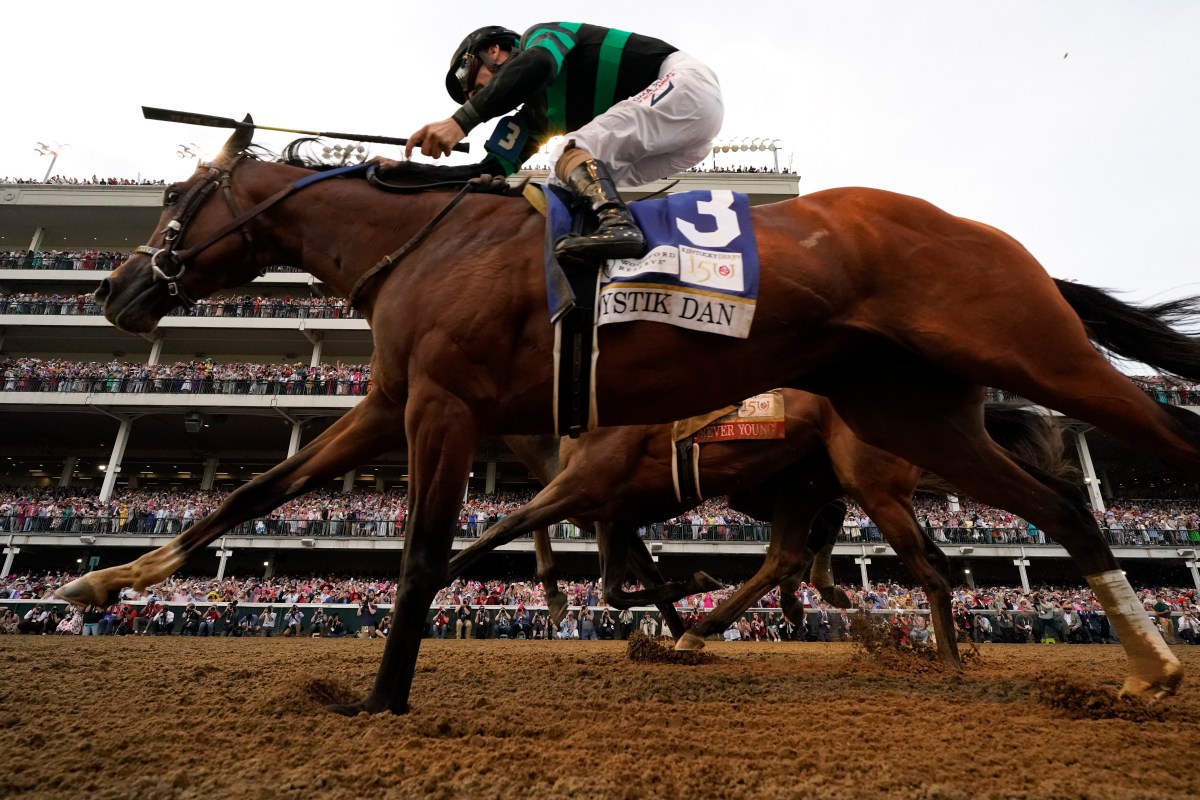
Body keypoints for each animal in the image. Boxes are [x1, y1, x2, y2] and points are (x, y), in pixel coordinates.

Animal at [468, 391, 1070, 666]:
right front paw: (558, 596)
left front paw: (687, 602)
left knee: (817, 547)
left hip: (823, 481)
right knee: (822, 535)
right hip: (788, 484)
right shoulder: (604, 510)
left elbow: (609, 580)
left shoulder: (604, 504)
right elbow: (611, 578)